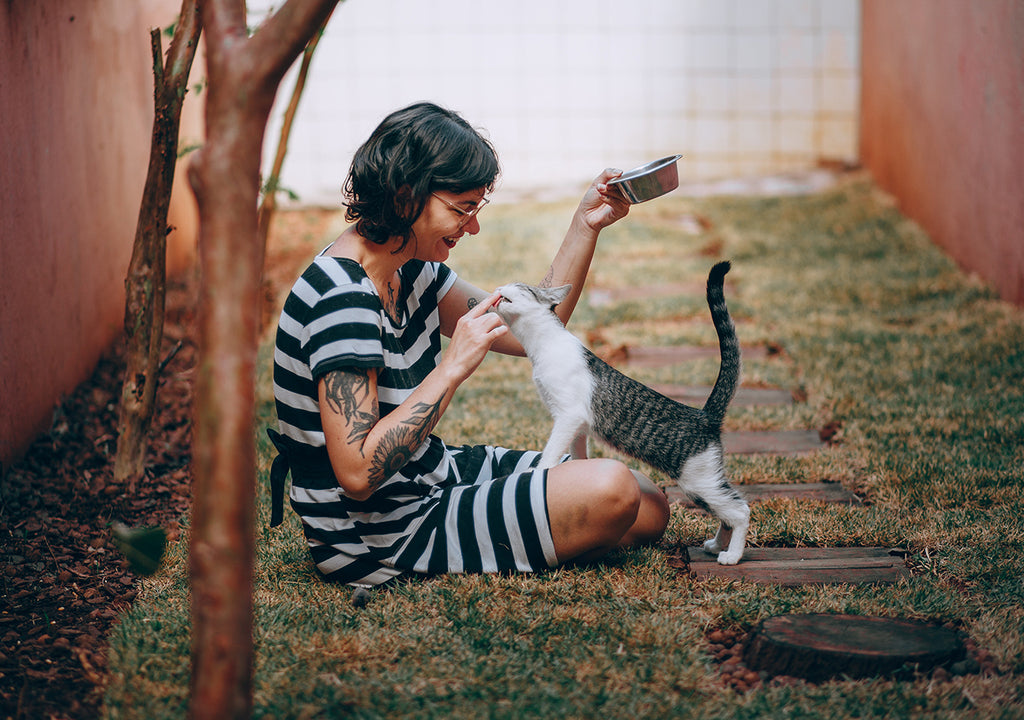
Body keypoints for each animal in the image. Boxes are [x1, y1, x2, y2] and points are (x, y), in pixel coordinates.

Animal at [491, 262, 749, 565]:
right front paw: (578, 470)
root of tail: (704, 416)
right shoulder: (579, 425)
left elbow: (552, 449)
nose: (497, 287)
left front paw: (540, 470)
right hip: (704, 484)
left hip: (698, 481)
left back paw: (732, 555)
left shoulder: (568, 416)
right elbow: (578, 452)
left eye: (518, 287)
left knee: (740, 510)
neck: (543, 344)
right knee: (727, 511)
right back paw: (717, 545)